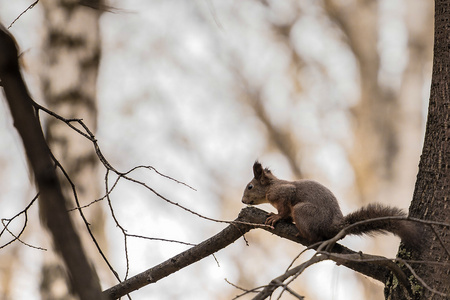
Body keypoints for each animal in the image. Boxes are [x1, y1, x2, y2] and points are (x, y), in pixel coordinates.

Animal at [241, 161, 420, 247]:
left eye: (250, 186)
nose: (242, 200)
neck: (271, 186)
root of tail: (335, 227)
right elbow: (287, 216)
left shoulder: (283, 193)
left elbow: (284, 210)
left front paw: (276, 217)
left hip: (302, 211)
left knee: (315, 237)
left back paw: (303, 235)